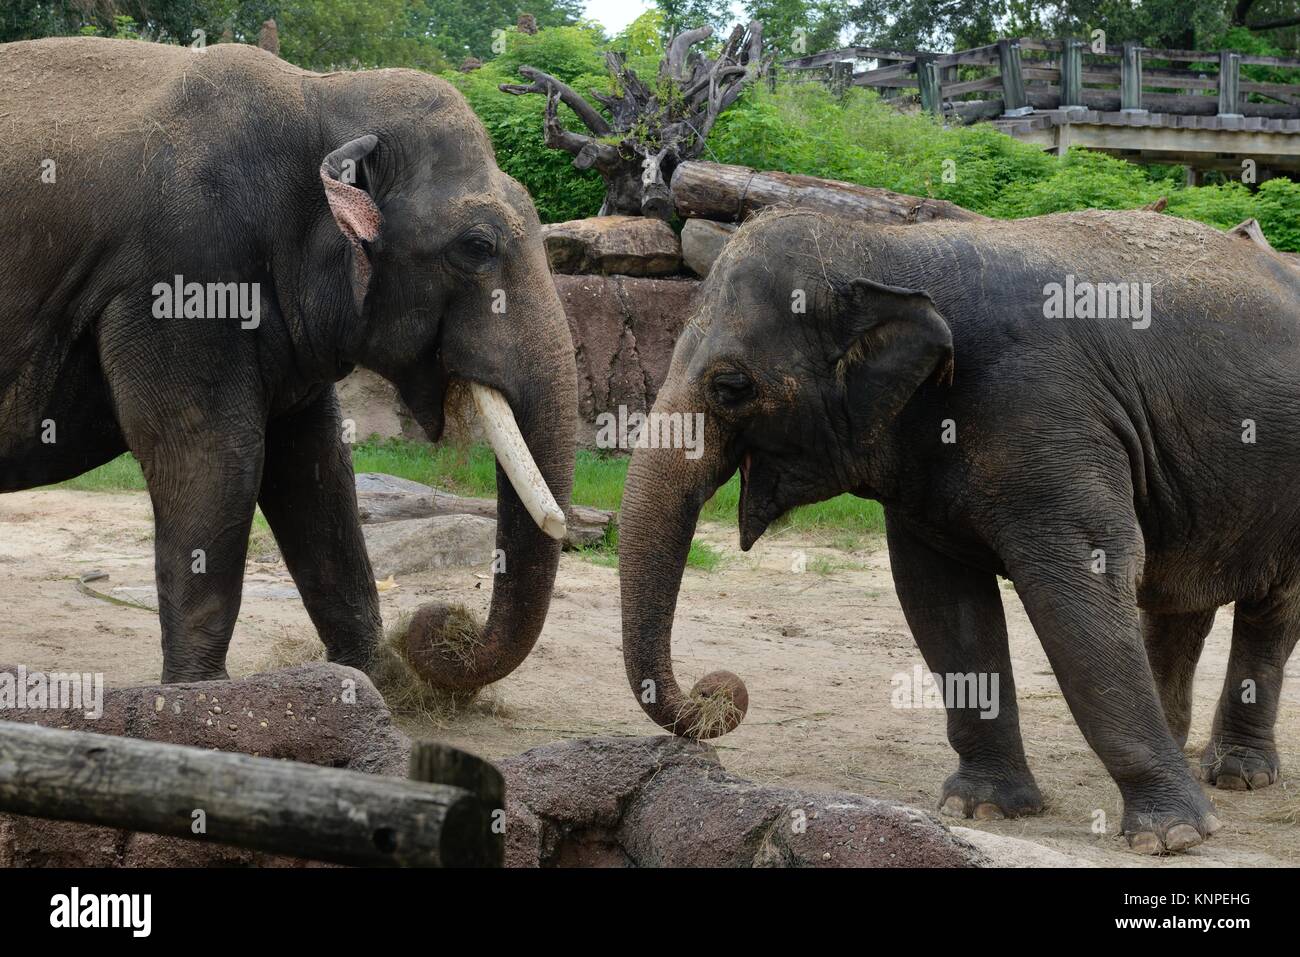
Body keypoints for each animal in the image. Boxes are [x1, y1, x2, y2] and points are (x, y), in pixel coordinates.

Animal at [1, 37, 574, 691]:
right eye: (477, 247)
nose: (439, 623)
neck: (319, 94)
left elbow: (315, 466)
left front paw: (379, 684)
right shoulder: (179, 278)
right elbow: (215, 455)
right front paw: (200, 696)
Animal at [616, 205, 1300, 858]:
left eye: (732, 386)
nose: (717, 686)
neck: (882, 245)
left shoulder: (1047, 413)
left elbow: (1080, 584)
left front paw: (1173, 836)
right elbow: (942, 601)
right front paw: (983, 808)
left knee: (1271, 612)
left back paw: (1238, 775)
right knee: (1182, 601)